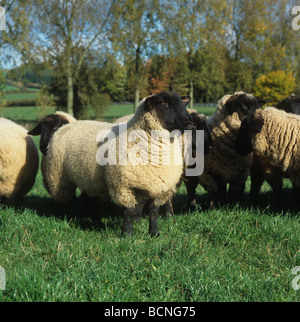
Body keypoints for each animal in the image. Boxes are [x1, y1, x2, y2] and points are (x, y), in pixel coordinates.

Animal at [44, 92, 195, 235]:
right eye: (164, 103)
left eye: (182, 102)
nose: (189, 121)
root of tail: (67, 125)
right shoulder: (123, 186)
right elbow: (129, 212)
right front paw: (127, 234)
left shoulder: (157, 186)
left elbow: (153, 212)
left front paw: (154, 233)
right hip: (58, 176)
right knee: (64, 199)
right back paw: (63, 218)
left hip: (88, 179)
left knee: (89, 198)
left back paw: (92, 219)